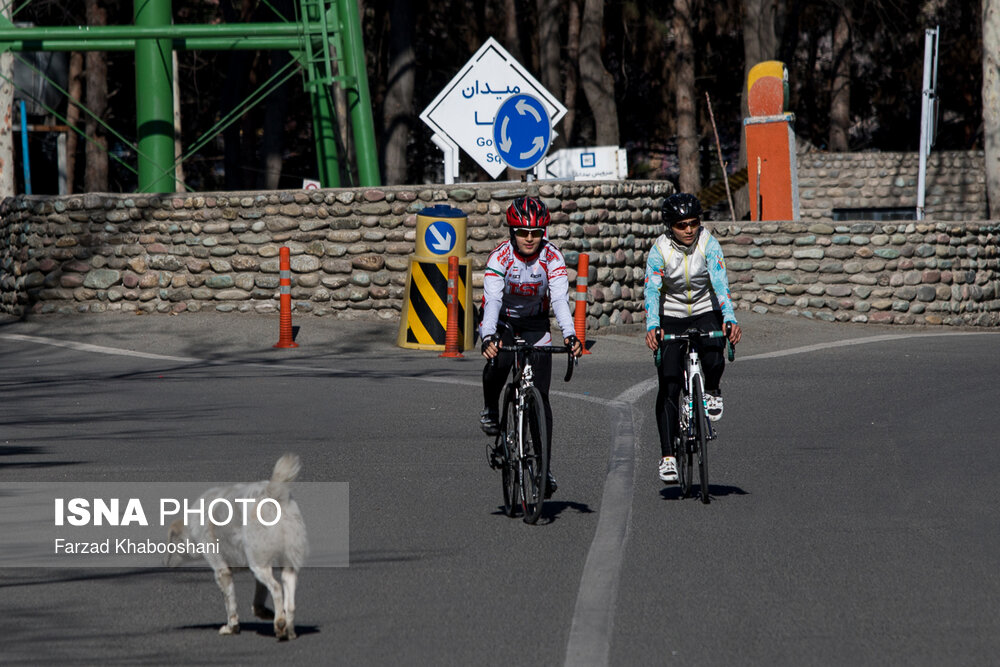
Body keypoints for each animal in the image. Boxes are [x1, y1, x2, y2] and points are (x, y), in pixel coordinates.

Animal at [164, 454, 308, 640]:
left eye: (170, 544)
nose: (163, 563)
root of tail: (272, 491)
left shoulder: (222, 571)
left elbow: (230, 603)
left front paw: (231, 627)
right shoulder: (255, 571)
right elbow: (258, 599)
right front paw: (263, 612)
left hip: (260, 565)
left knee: (276, 589)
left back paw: (280, 624)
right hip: (283, 565)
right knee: (289, 600)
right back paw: (289, 631)